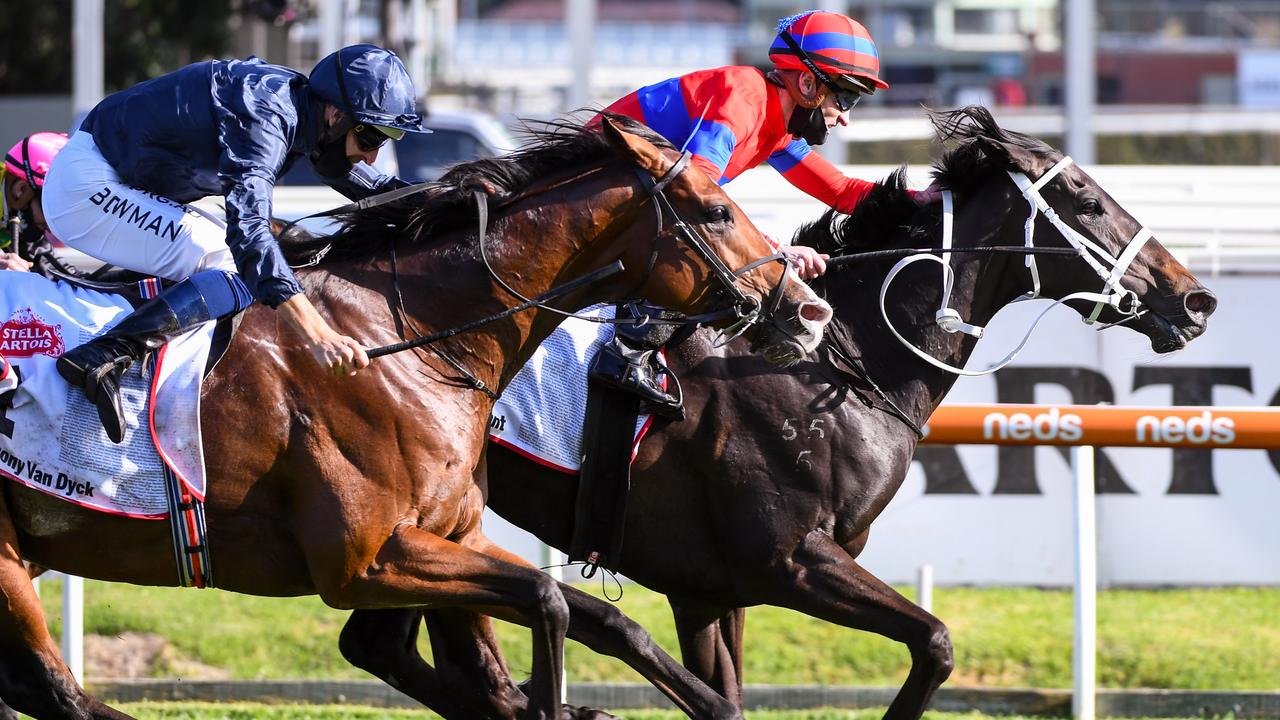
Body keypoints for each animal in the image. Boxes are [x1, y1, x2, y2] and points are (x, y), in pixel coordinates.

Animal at [0, 116, 829, 717]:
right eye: (717, 211)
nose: (808, 310)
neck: (408, 339)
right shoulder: (368, 560)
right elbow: (549, 605)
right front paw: (560, 705)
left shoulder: (447, 538)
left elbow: (577, 621)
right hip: (9, 562)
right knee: (56, 692)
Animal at [343, 106, 1218, 717]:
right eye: (1084, 199)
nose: (1194, 299)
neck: (841, 363)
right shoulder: (793, 562)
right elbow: (935, 643)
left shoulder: (707, 589)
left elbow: (726, 689)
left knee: (382, 645)